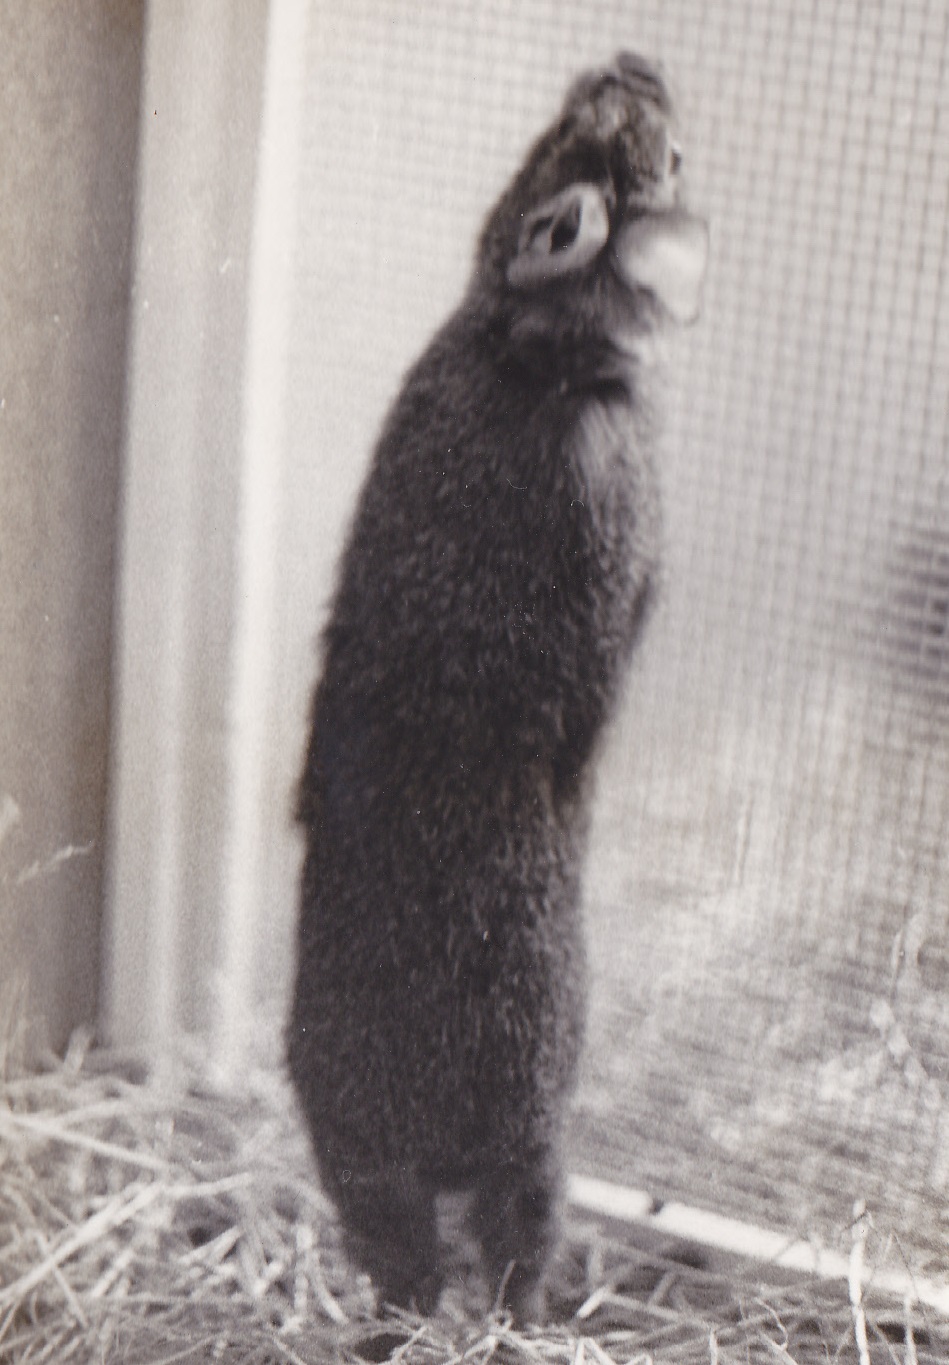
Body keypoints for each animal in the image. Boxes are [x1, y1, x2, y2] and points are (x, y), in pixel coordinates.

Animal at [288, 51, 708, 1323]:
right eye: (665, 158)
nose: (630, 64)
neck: (537, 352)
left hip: (361, 1157)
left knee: (405, 1256)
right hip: (524, 1134)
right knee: (512, 1235)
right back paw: (518, 1322)